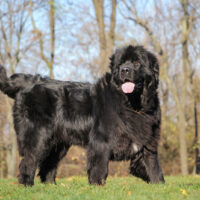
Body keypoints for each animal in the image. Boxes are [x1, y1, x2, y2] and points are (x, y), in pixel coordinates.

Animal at [0, 45, 165, 186]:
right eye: (121, 64)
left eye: (137, 62)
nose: (124, 70)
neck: (133, 105)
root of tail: (29, 83)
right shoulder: (101, 141)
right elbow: (99, 167)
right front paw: (98, 186)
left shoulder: (148, 141)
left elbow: (153, 166)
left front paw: (159, 186)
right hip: (38, 136)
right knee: (28, 161)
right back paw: (27, 185)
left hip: (58, 143)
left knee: (48, 165)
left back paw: (51, 187)